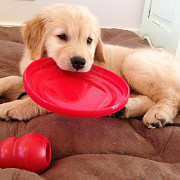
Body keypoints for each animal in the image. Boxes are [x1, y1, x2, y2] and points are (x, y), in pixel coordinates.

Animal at [0, 3, 179, 129]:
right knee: (149, 98)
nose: (79, 62)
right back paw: (123, 109)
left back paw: (159, 114)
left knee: (172, 95)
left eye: (89, 40)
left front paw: (11, 107)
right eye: (62, 36)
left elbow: (35, 101)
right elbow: (11, 79)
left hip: (135, 64)